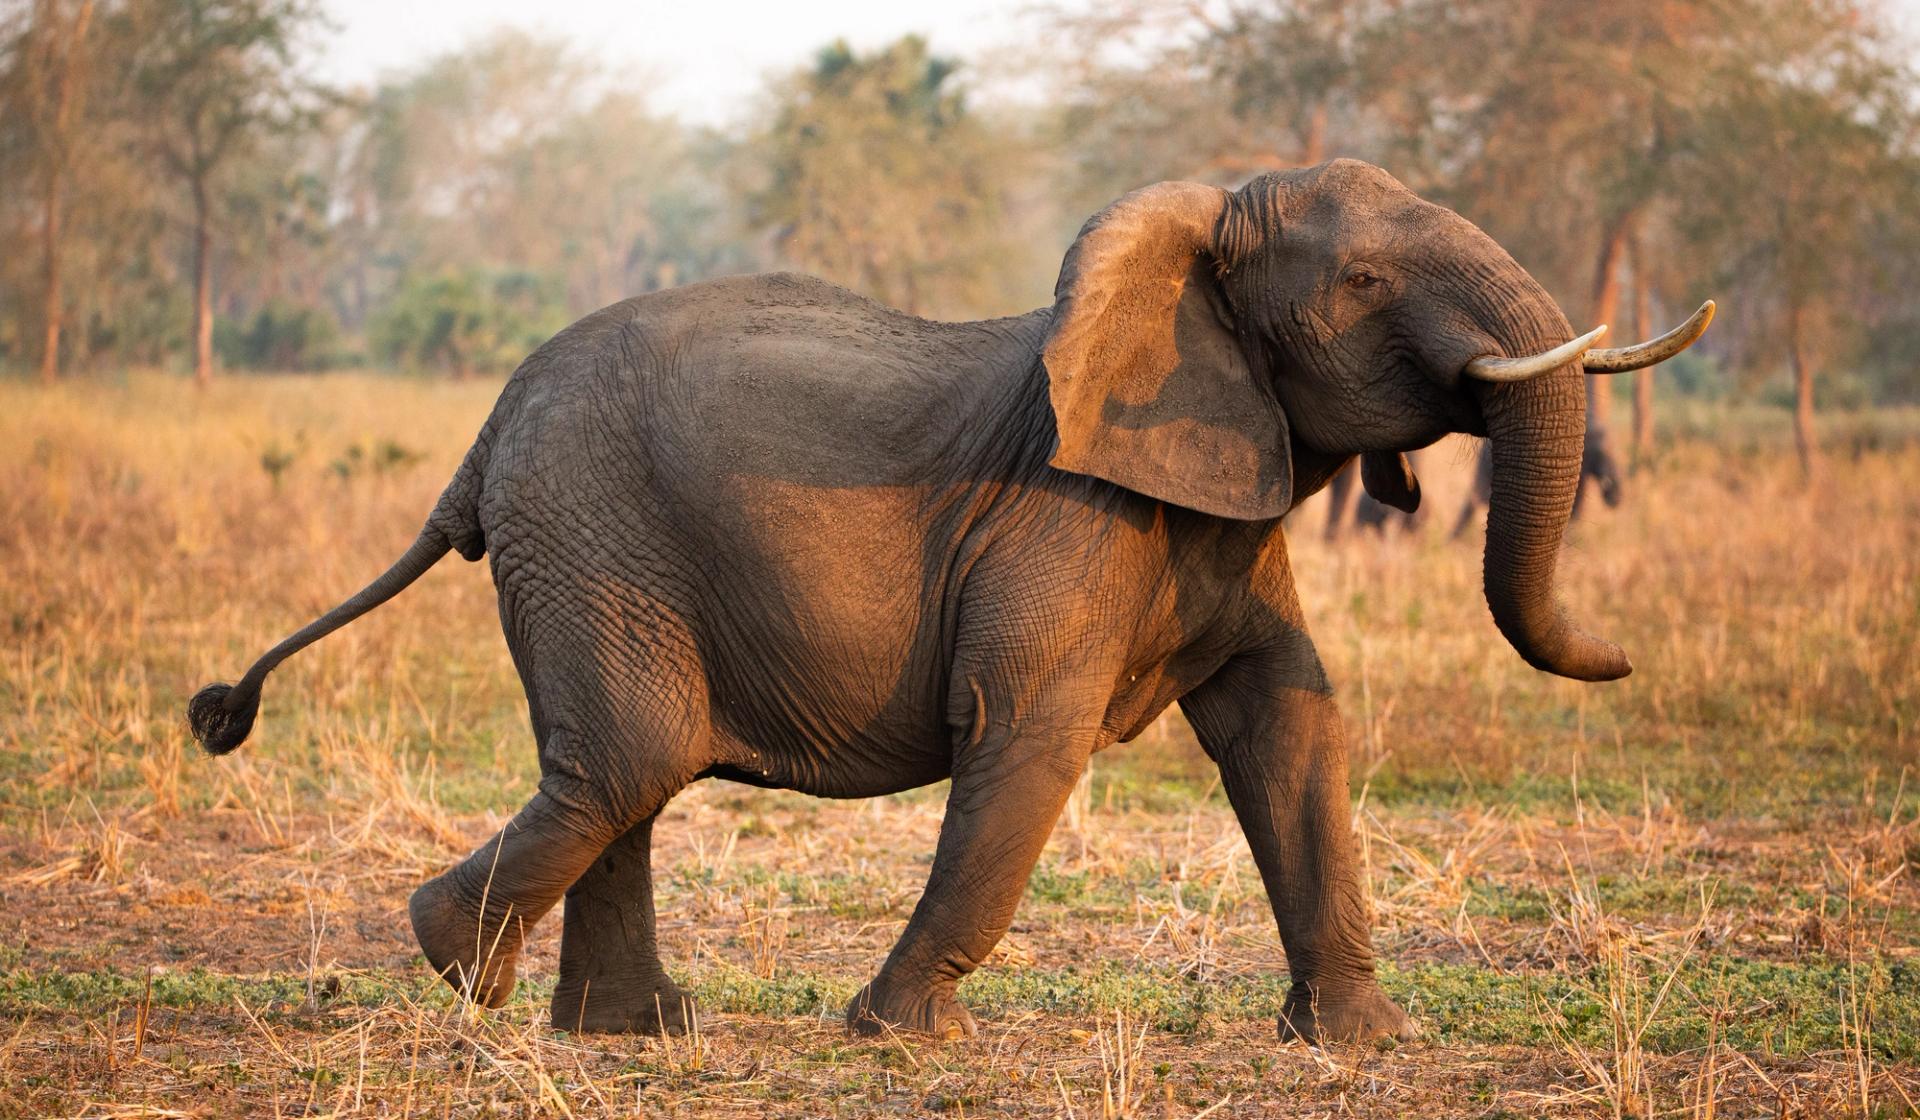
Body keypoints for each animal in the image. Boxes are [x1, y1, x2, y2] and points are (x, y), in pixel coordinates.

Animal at [187, 159, 1712, 1045]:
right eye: (1365, 279)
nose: (1633, 655)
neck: (1194, 227)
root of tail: (486, 430)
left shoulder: (1220, 506)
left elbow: (1290, 730)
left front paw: (1355, 1044)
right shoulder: (1070, 517)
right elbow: (1028, 738)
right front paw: (896, 1034)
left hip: (592, 547)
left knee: (620, 771)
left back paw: (627, 1033)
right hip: (591, 534)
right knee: (626, 760)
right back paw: (458, 970)